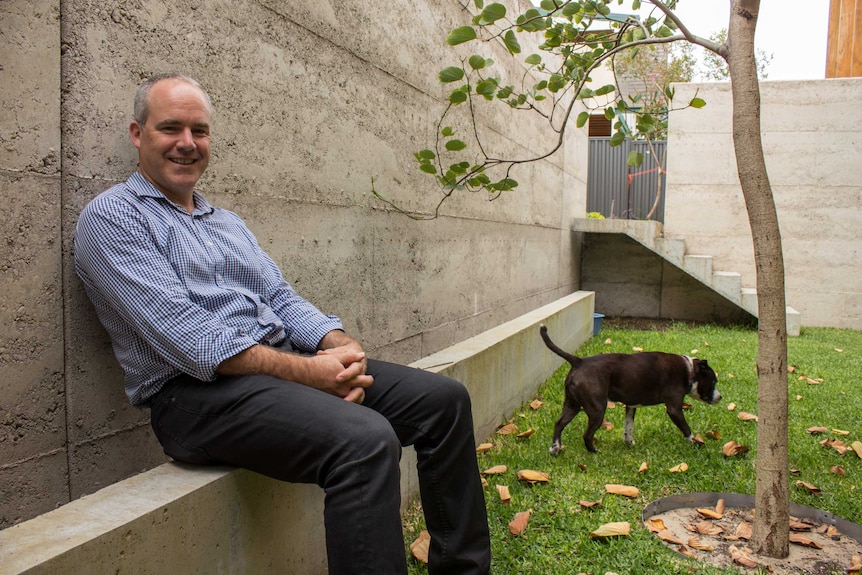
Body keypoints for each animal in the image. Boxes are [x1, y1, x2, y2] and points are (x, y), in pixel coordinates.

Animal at [540, 324, 724, 454]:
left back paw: (555, 448)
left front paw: (629, 443)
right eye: (713, 381)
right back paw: (593, 451)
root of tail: (579, 361)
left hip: (572, 405)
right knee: (587, 434)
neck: (689, 370)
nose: (720, 397)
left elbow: (628, 428)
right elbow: (686, 429)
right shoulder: (674, 409)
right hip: (597, 409)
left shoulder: (630, 406)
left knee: (559, 423)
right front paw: (694, 443)